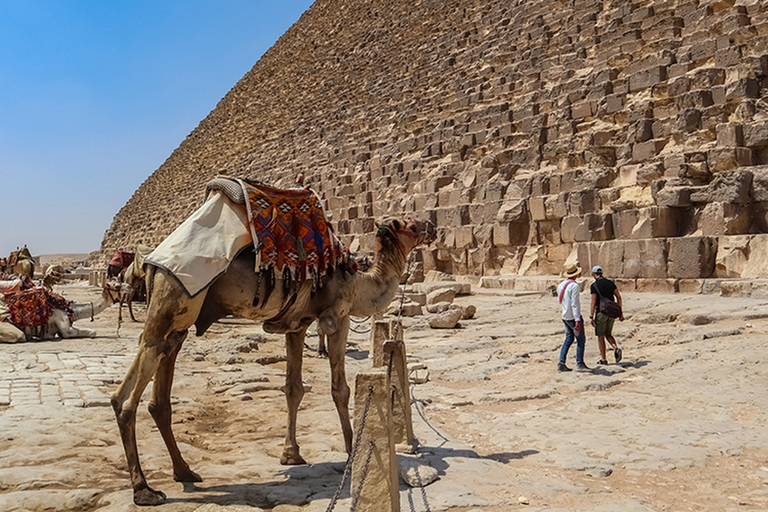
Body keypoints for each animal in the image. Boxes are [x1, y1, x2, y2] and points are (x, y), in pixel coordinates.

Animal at [110, 214, 436, 506]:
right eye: (411, 224)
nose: (432, 227)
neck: (359, 281)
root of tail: (151, 265)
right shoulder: (337, 318)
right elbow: (340, 389)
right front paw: (350, 452)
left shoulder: (297, 324)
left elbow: (293, 389)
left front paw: (291, 454)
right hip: (173, 301)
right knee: (125, 398)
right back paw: (144, 490)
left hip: (177, 322)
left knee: (158, 393)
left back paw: (184, 472)